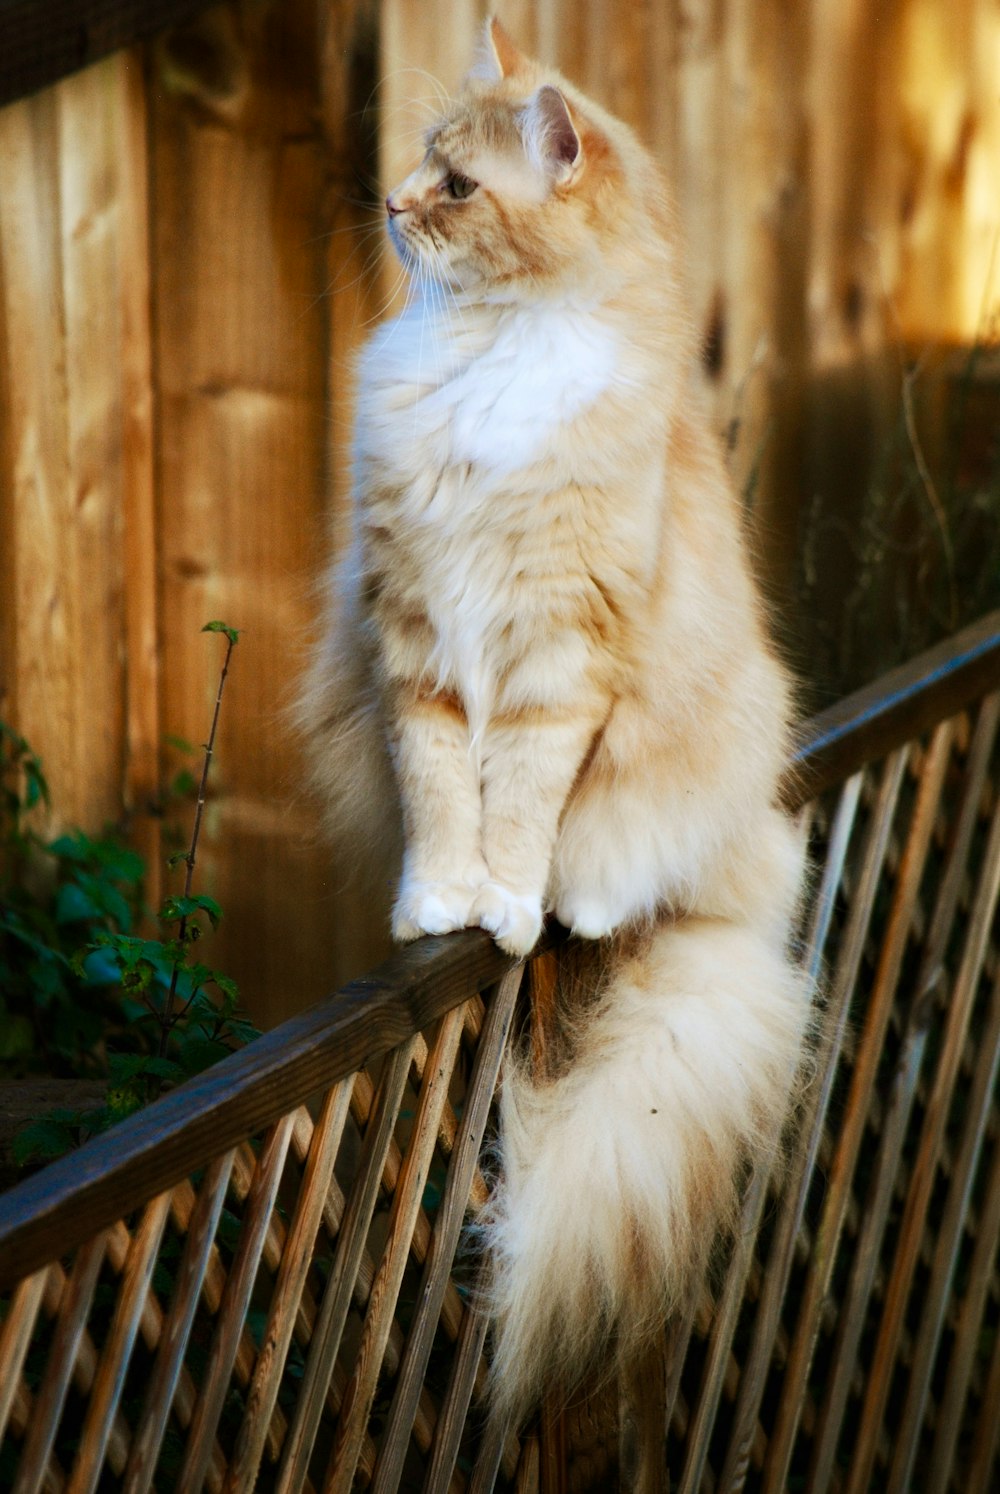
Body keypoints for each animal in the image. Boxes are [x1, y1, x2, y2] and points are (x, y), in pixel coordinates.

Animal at [298, 17, 813, 1428]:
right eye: (419, 166)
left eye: (456, 186)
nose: (388, 203)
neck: (489, 357)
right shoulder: (416, 647)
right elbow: (440, 797)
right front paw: (439, 902)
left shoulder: (555, 664)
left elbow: (518, 808)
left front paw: (511, 904)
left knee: (618, 871)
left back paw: (584, 900)